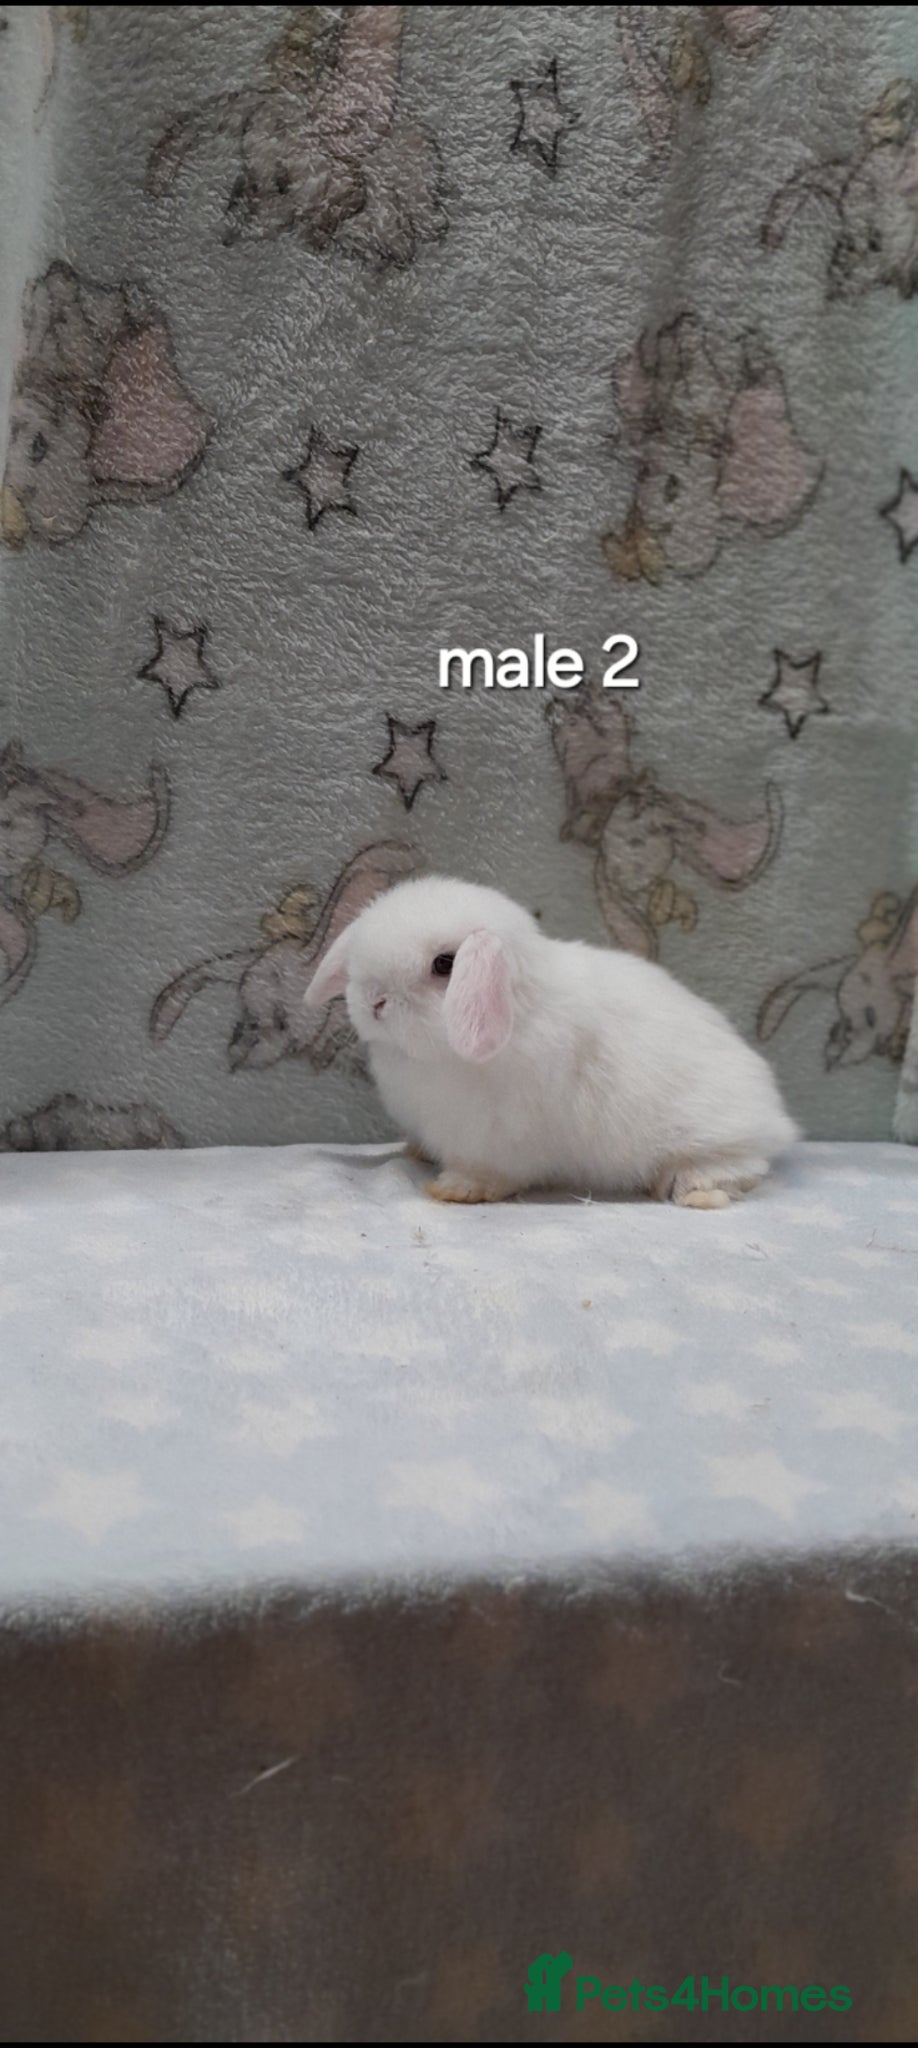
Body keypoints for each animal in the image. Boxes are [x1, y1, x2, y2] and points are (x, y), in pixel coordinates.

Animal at [304, 875, 798, 1208]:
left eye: (444, 964)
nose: (374, 1001)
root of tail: (774, 1112)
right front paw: (416, 1151)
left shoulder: (496, 1139)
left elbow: (488, 1173)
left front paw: (454, 1189)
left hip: (715, 1137)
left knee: (743, 1166)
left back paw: (691, 1188)